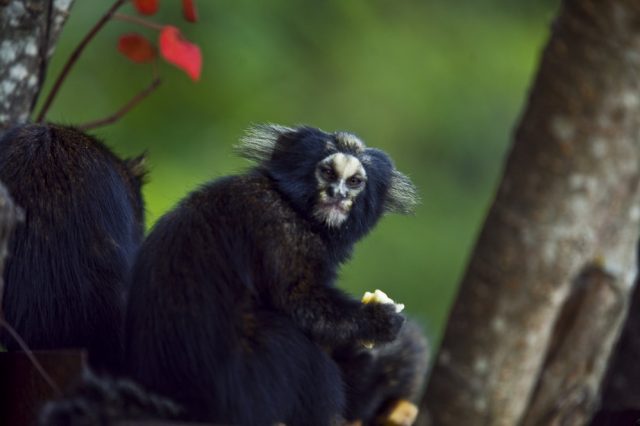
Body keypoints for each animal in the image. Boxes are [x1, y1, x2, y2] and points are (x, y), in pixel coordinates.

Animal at [124, 124, 419, 425]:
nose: (337, 194)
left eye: (355, 181)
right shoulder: (283, 229)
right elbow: (300, 302)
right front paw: (379, 321)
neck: (293, 205)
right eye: (327, 173)